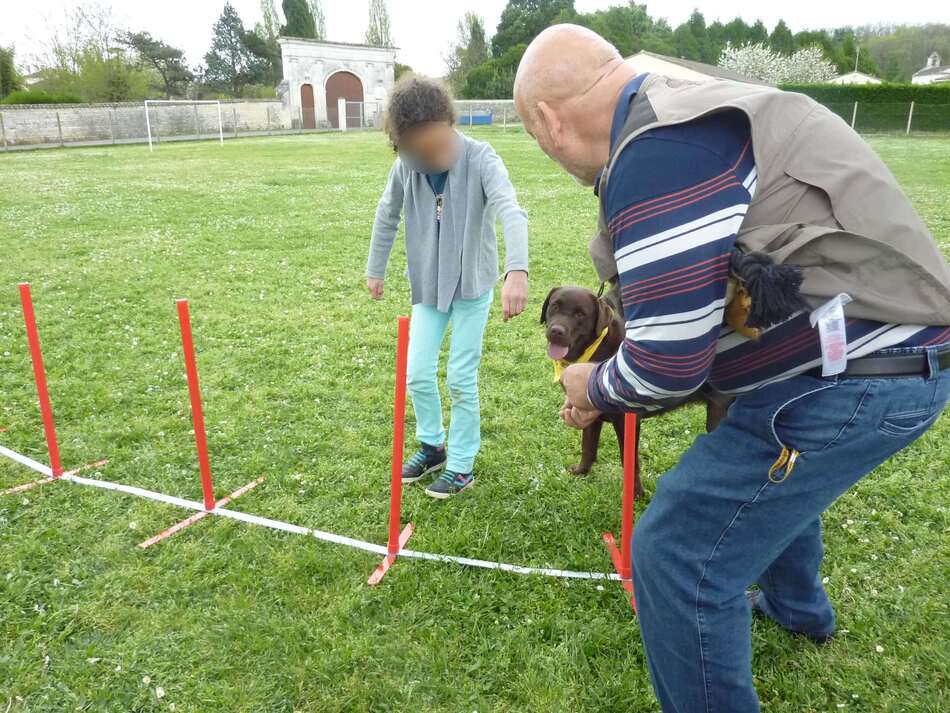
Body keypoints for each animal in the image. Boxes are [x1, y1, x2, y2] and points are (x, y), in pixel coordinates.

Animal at [544, 284, 736, 496]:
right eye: (554, 306)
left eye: (580, 314)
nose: (556, 331)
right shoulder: (589, 411)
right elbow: (588, 446)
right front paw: (581, 471)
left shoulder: (626, 420)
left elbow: (628, 461)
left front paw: (636, 493)